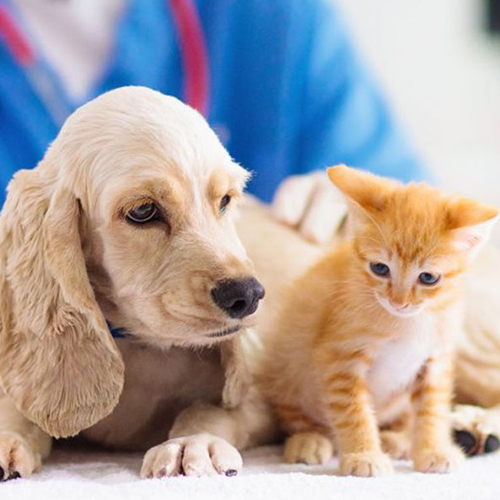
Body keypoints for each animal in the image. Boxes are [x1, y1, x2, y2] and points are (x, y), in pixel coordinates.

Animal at [260, 165, 498, 476]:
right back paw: (309, 440)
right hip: (287, 369)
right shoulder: (340, 359)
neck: (408, 324)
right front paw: (364, 456)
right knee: (299, 414)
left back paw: (398, 440)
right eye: (380, 268)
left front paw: (433, 449)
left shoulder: (435, 360)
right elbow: (354, 412)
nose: (399, 302)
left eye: (428, 277)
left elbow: (432, 409)